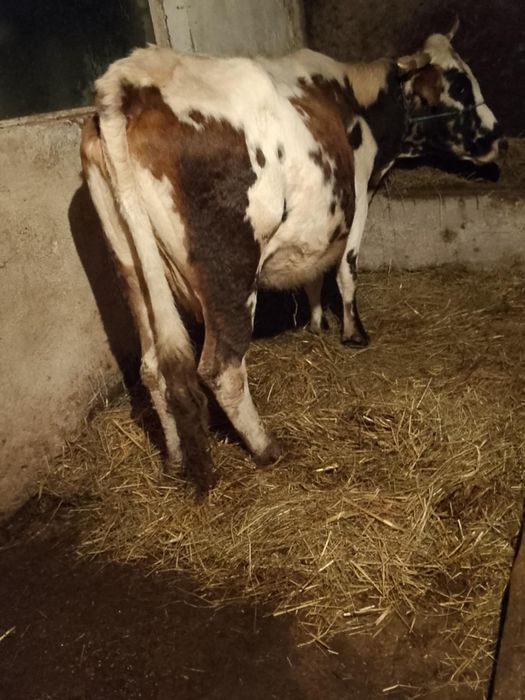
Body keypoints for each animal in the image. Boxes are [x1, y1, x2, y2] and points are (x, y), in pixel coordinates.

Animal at [80, 22, 503, 489]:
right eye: (460, 82)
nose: (497, 134)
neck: (355, 96)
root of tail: (130, 79)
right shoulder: (357, 195)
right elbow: (346, 270)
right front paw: (354, 333)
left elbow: (313, 271)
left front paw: (318, 323)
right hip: (230, 267)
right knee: (221, 367)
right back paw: (267, 448)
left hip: (131, 263)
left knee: (154, 368)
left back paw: (174, 460)